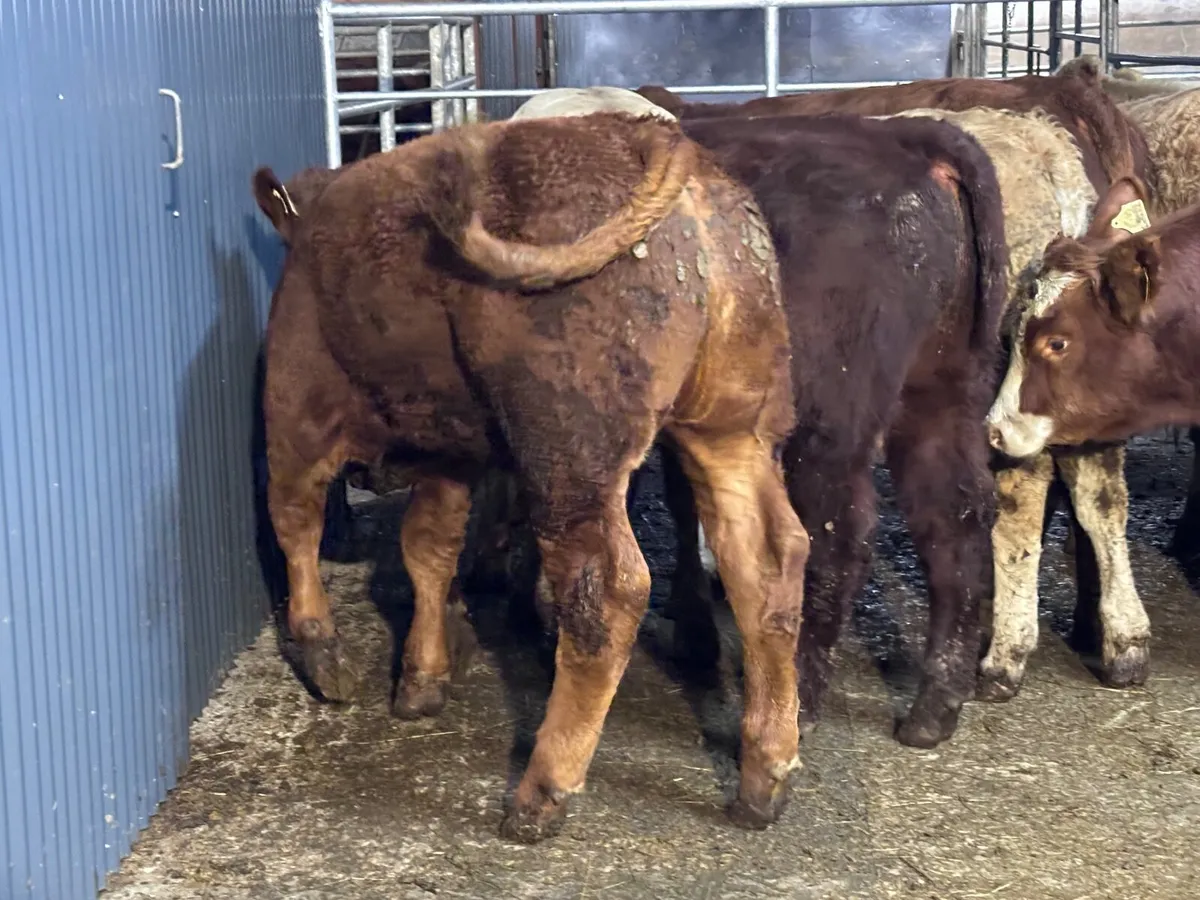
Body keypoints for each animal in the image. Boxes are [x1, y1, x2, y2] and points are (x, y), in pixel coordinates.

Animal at [256, 111, 810, 842]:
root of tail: (657, 142)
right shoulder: (451, 455)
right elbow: (428, 548)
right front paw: (423, 678)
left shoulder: (298, 408)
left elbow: (297, 522)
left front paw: (323, 655)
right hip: (732, 434)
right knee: (767, 564)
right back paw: (763, 778)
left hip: (570, 460)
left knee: (608, 592)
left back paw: (541, 792)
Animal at [653, 111, 1009, 748]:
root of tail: (910, 140)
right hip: (941, 393)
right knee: (956, 517)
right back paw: (933, 710)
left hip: (828, 422)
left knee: (834, 537)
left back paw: (795, 703)